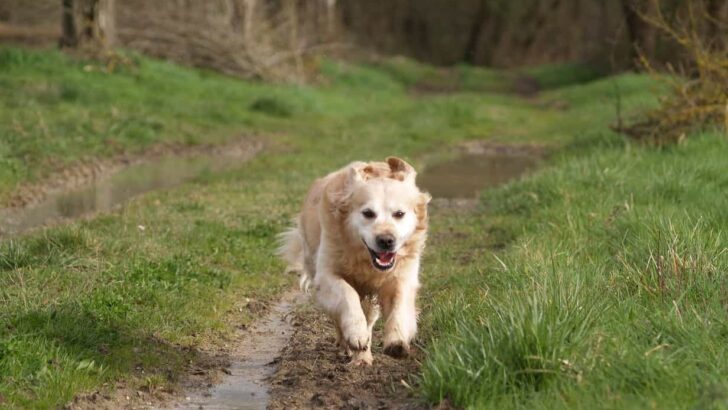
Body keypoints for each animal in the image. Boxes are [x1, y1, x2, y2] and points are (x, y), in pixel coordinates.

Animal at [276, 157, 430, 366]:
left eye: (399, 214)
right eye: (368, 213)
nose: (386, 241)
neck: (364, 260)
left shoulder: (401, 276)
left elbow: (399, 304)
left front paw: (396, 341)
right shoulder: (326, 275)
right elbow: (347, 295)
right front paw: (356, 335)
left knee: (370, 319)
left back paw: (363, 357)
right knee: (340, 316)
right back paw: (351, 348)